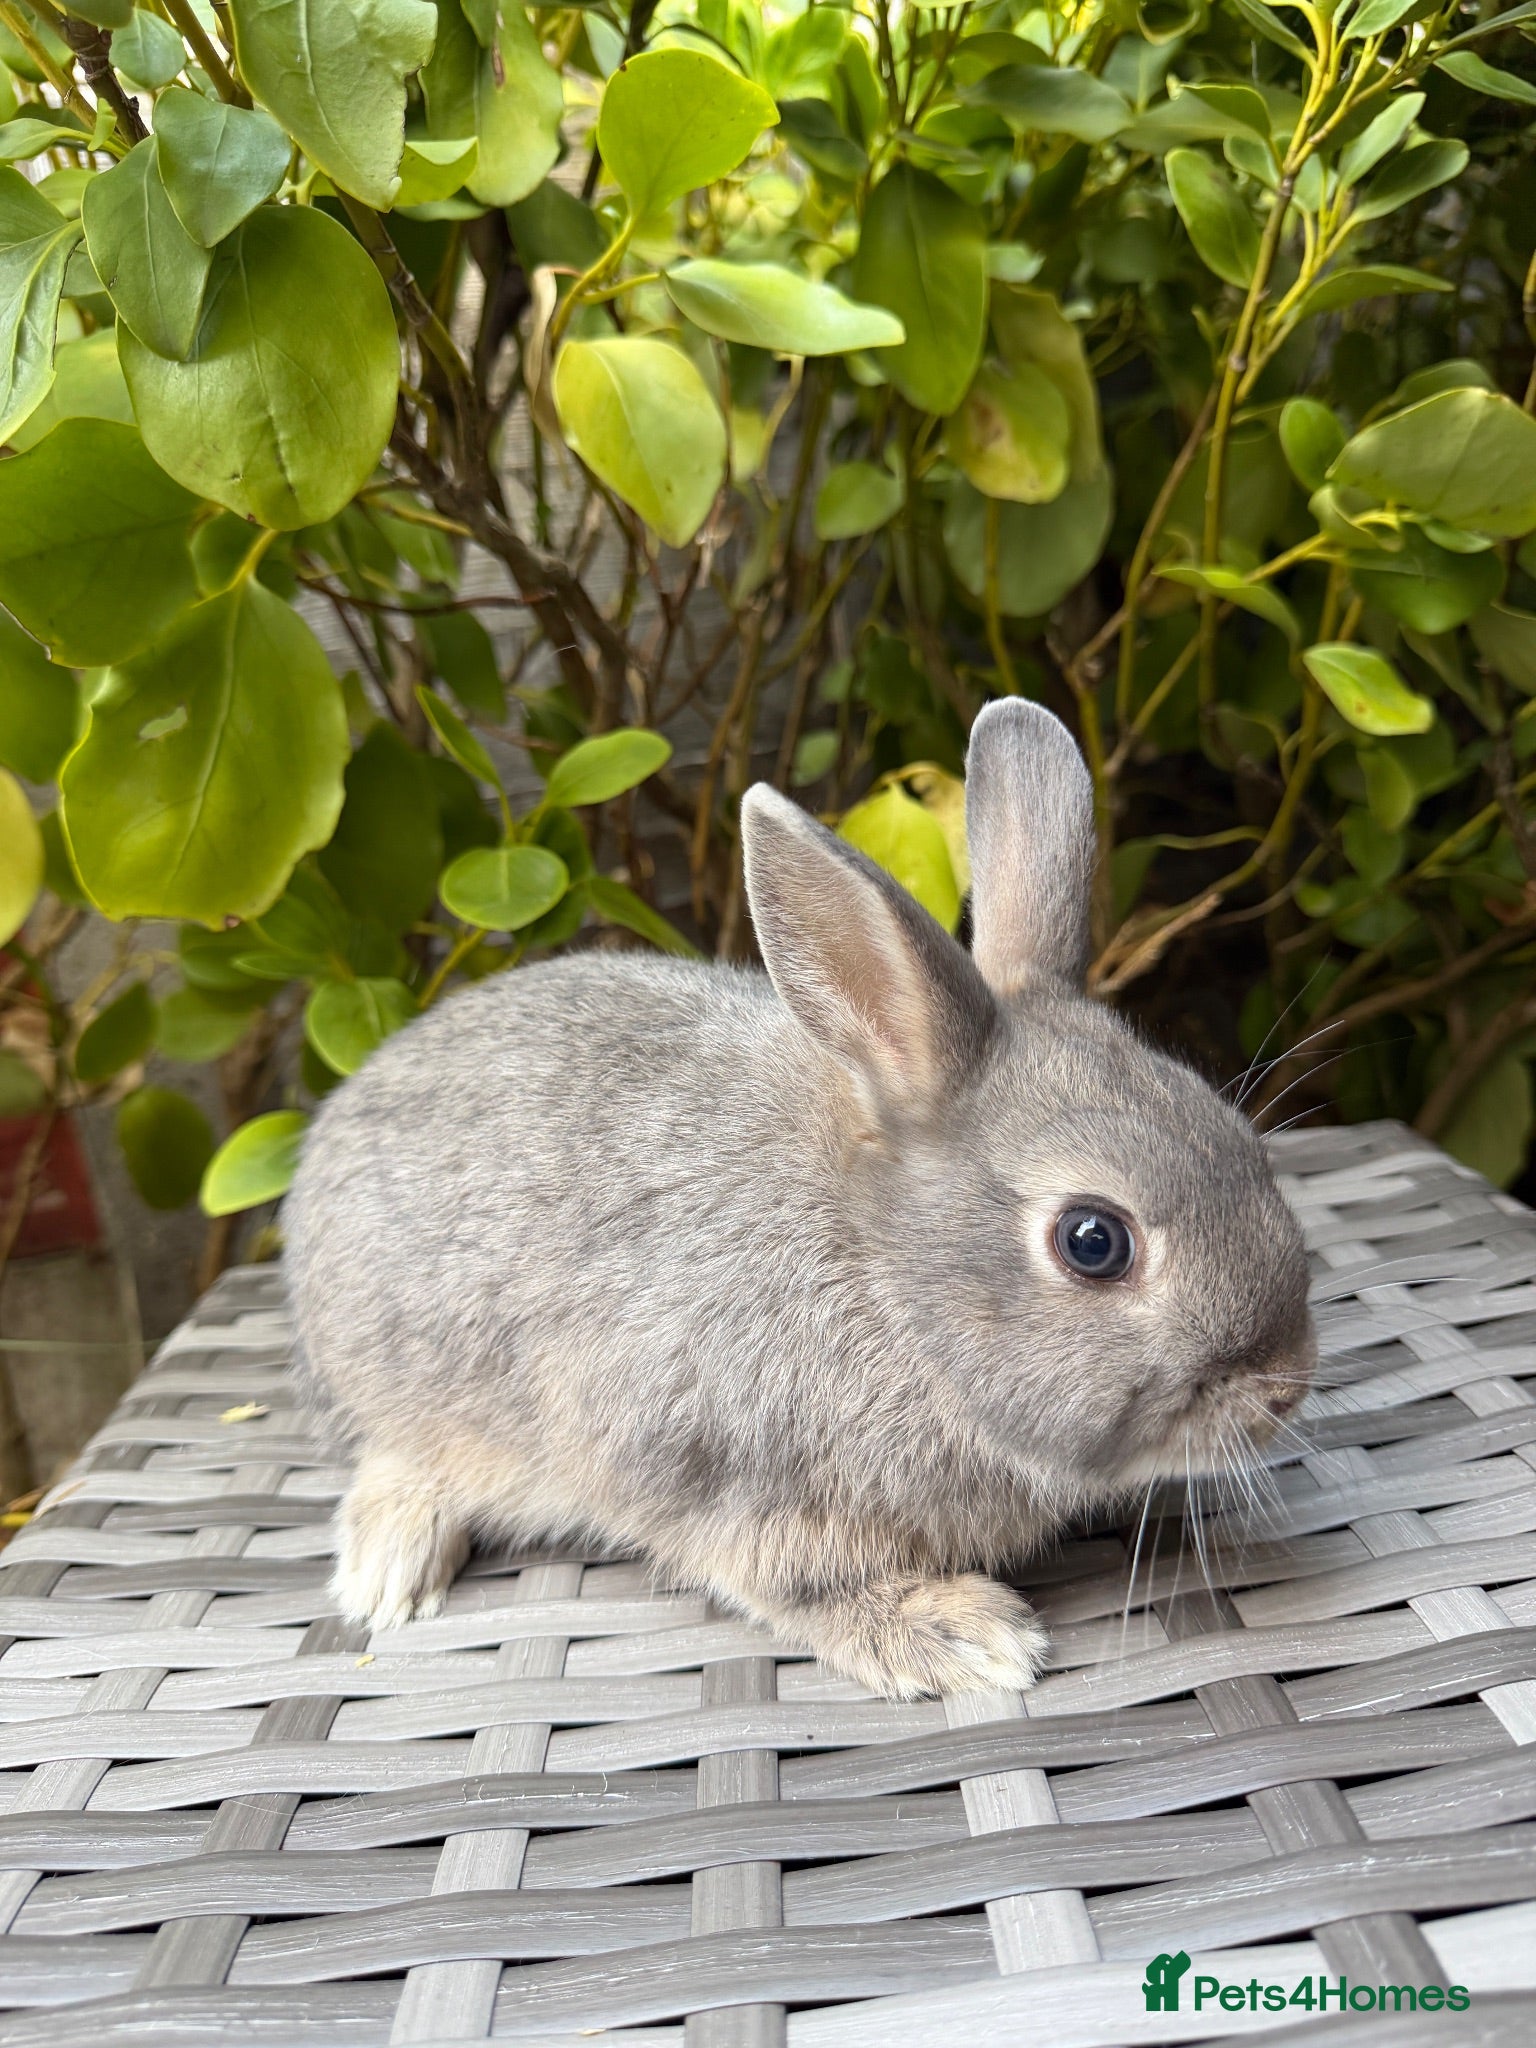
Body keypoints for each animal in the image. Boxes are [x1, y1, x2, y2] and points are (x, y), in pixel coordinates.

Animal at [283, 698, 1315, 1700]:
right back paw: (388, 1575)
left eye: (1235, 1132)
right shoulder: (722, 1479)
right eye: (1094, 1241)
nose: (1284, 1387)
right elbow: (797, 1584)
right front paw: (964, 1637)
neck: (885, 1280)